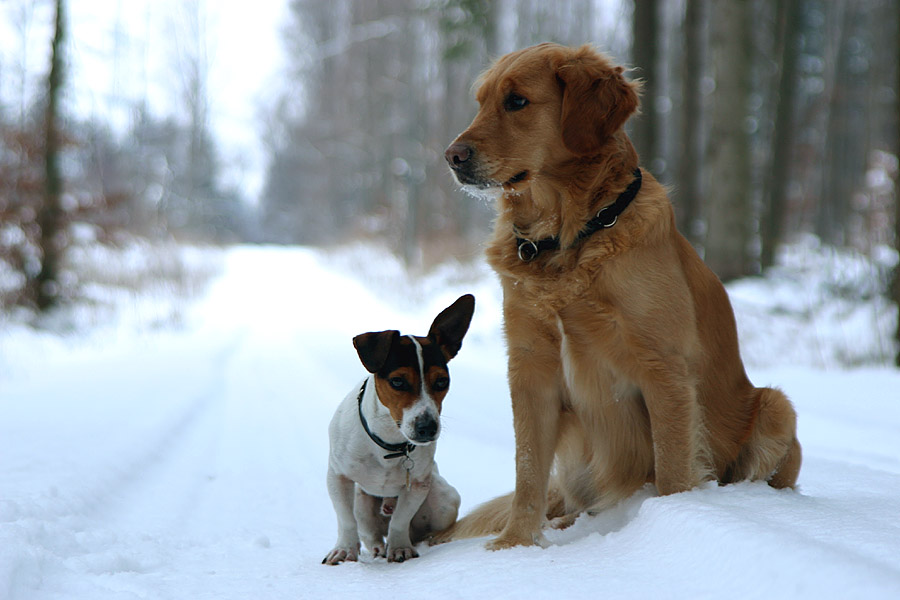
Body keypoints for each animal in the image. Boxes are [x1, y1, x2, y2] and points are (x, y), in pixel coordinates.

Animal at [326, 292, 478, 564]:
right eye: (397, 381)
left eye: (442, 381)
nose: (427, 428)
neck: (389, 442)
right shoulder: (338, 476)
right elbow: (345, 520)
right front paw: (344, 549)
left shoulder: (418, 485)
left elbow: (399, 521)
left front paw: (399, 548)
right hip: (362, 500)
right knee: (369, 533)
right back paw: (377, 547)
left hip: (444, 496)